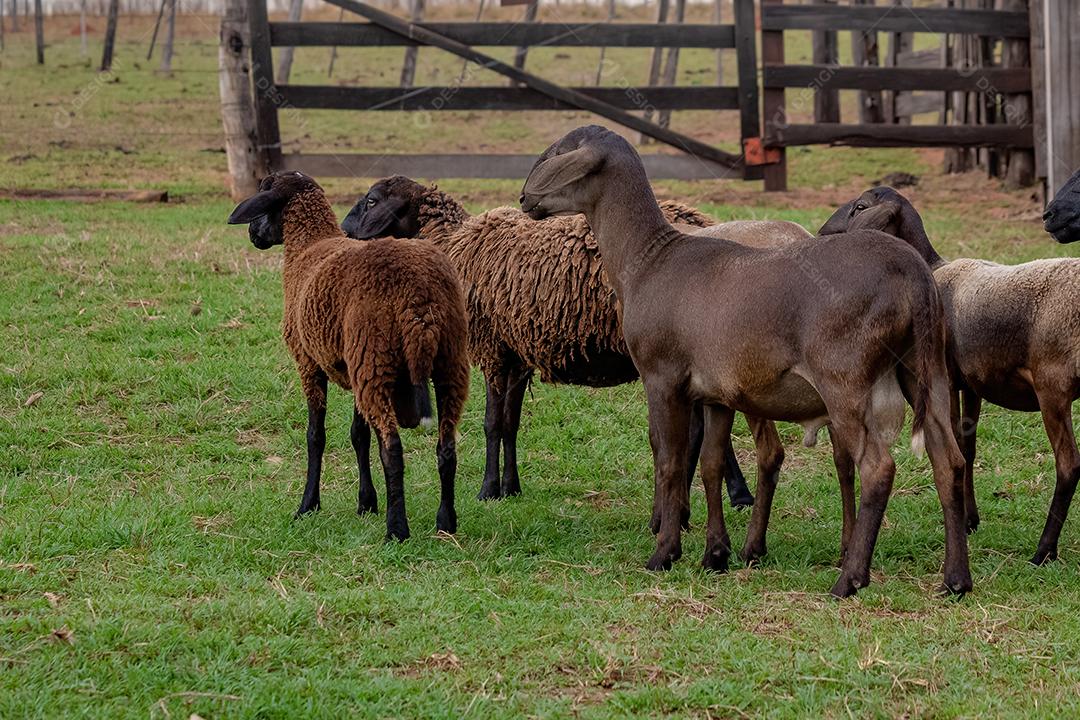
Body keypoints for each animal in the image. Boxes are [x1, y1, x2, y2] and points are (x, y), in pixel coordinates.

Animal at [226, 170, 470, 541]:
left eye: (263, 195)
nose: (253, 235)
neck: (308, 245)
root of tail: (418, 299)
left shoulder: (308, 363)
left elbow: (316, 436)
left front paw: (307, 505)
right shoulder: (354, 366)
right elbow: (359, 434)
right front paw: (366, 502)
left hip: (375, 357)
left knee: (392, 449)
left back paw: (397, 530)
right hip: (442, 363)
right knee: (446, 447)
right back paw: (446, 522)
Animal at [341, 176, 759, 513]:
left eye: (373, 200)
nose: (344, 230)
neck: (454, 242)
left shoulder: (492, 348)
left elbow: (491, 424)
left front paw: (487, 490)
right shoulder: (515, 353)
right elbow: (510, 424)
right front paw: (510, 487)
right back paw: (736, 494)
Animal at [520, 125, 971, 598]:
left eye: (556, 153)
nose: (523, 198)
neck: (647, 257)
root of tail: (912, 272)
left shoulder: (662, 378)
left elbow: (669, 462)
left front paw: (664, 553)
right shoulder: (715, 394)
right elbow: (711, 465)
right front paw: (715, 555)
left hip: (845, 380)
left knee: (877, 468)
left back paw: (849, 579)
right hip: (925, 371)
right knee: (949, 462)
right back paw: (956, 579)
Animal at [821, 185, 1080, 565]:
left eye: (860, 207)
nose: (823, 235)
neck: (934, 267)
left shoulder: (945, 378)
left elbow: (954, 442)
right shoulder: (973, 381)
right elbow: (968, 446)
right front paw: (971, 518)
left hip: (1053, 387)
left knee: (1068, 466)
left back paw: (1043, 551)